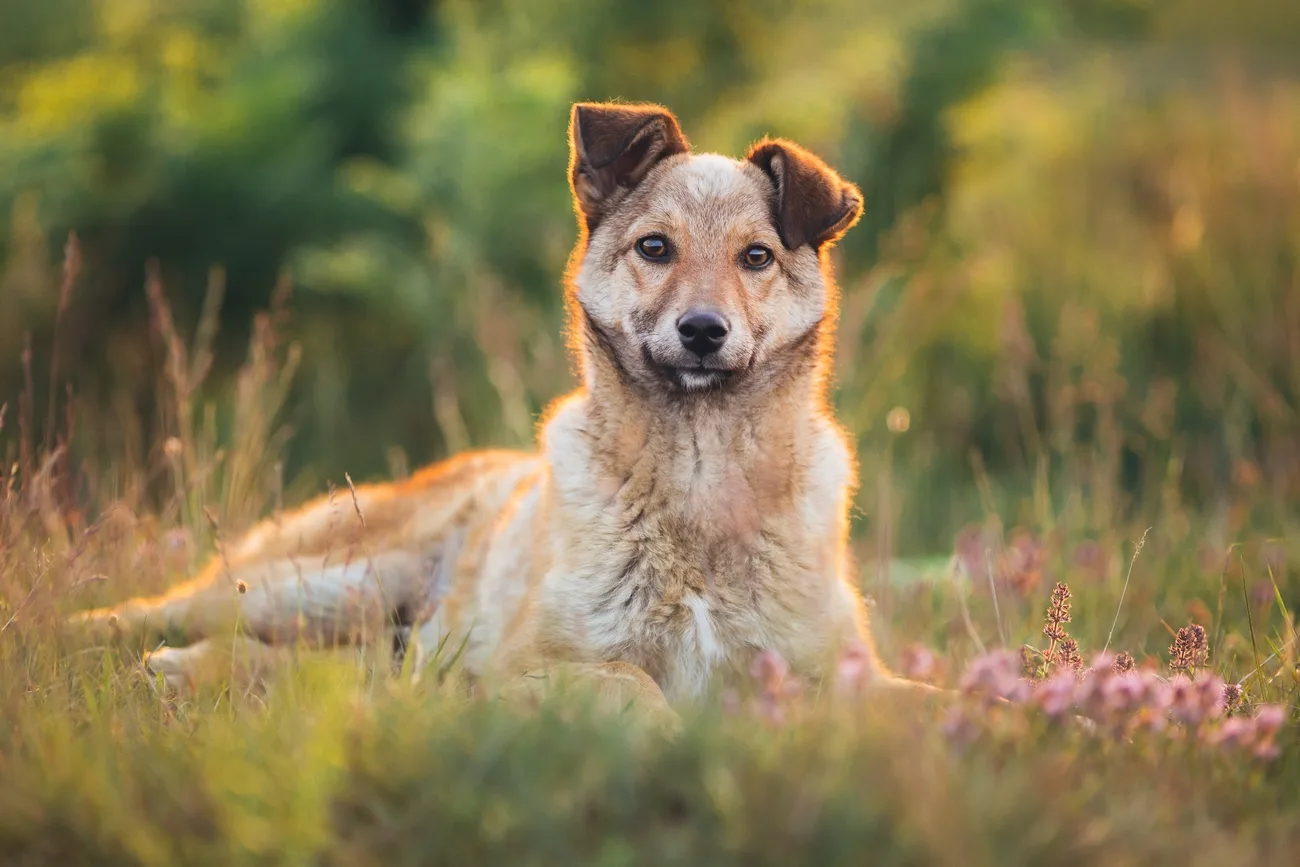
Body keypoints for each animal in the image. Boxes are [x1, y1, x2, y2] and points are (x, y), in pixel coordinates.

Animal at [76, 100, 941, 727]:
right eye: (654, 248)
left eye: (756, 256)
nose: (702, 331)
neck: (700, 475)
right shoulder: (527, 664)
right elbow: (635, 687)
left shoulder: (844, 672)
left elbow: (936, 702)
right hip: (324, 582)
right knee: (168, 613)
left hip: (370, 634)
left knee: (314, 667)